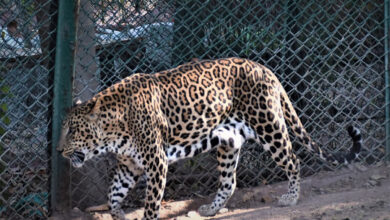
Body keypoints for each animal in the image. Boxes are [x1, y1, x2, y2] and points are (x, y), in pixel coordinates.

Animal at [58, 57, 362, 219]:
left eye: (72, 131)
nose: (59, 151)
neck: (114, 129)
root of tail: (264, 68)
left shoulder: (156, 162)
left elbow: (151, 201)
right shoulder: (129, 165)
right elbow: (113, 193)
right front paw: (117, 213)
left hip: (269, 126)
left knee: (293, 159)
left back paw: (291, 198)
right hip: (229, 142)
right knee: (229, 182)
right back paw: (210, 209)